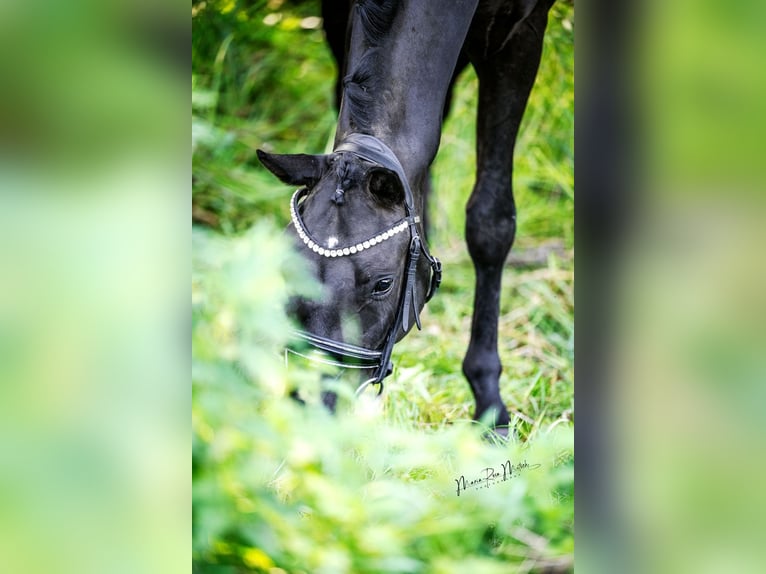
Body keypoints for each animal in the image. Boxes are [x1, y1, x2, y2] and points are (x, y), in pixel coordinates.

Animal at [260, 0, 556, 432]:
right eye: (286, 269)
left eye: (383, 284)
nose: (308, 403)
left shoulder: (518, 36)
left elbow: (491, 222)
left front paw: (489, 404)